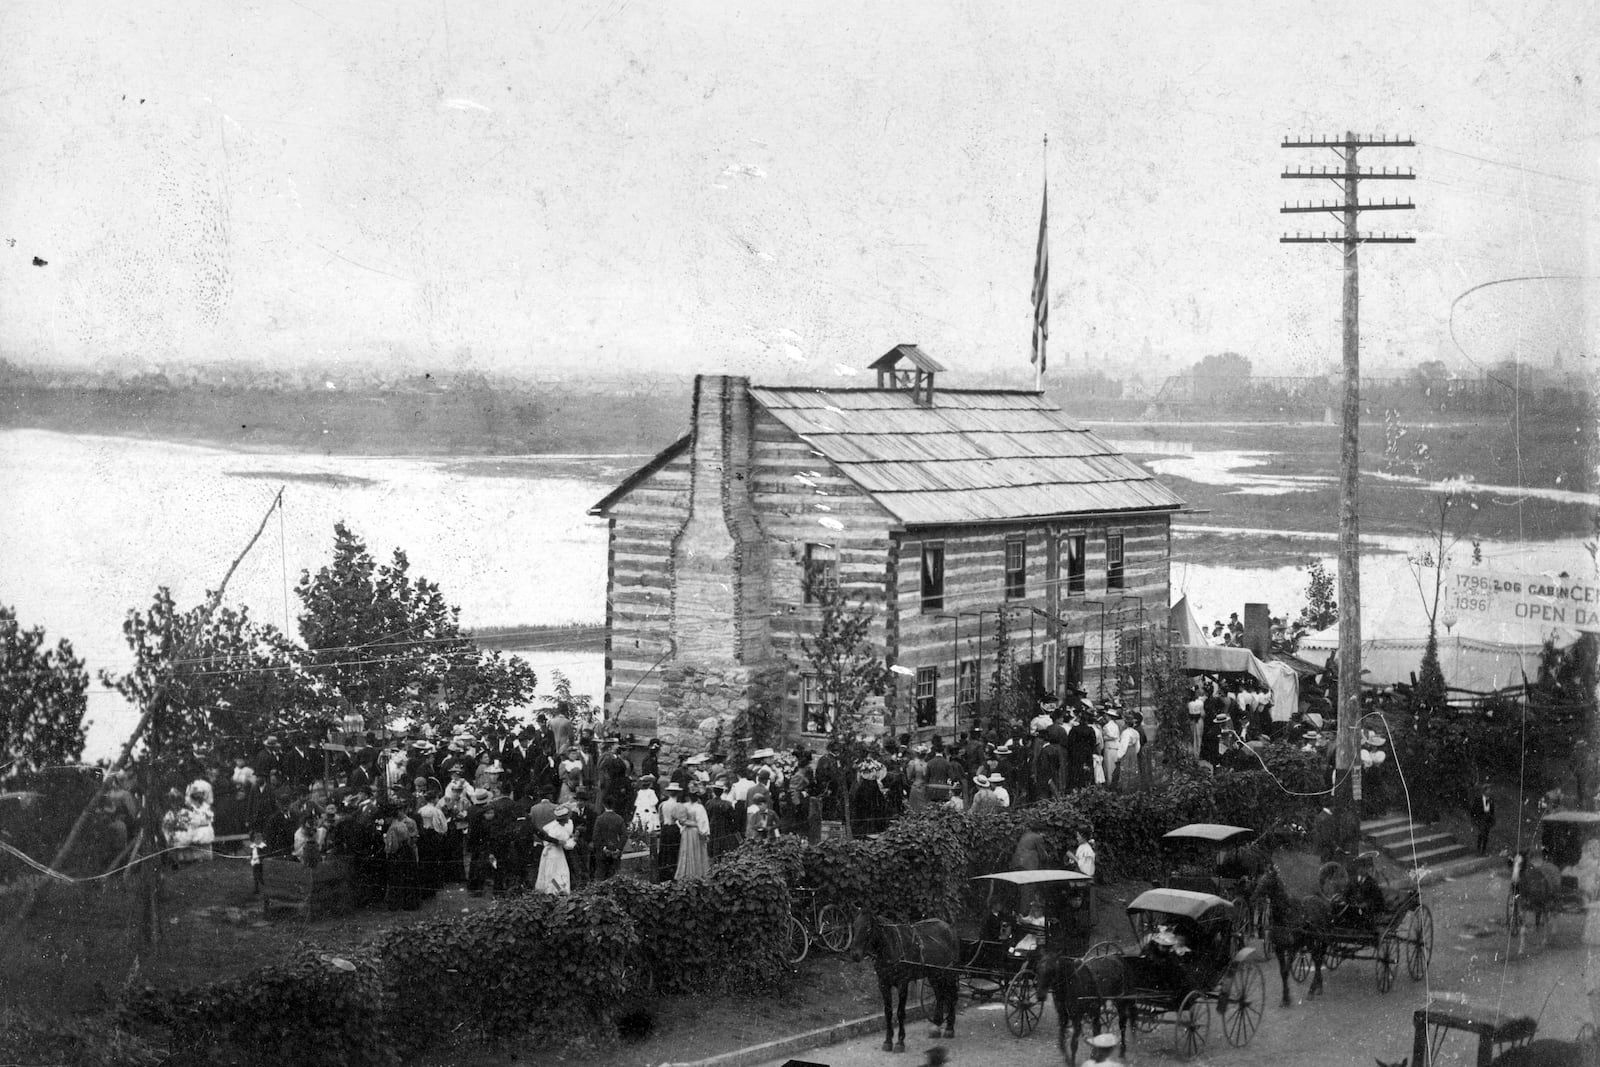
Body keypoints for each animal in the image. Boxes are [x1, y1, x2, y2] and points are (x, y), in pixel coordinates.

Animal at [851, 908, 960, 1049]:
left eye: (868, 928)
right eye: (854, 926)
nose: (855, 954)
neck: (892, 947)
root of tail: (948, 927)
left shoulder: (902, 983)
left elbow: (900, 1013)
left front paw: (900, 1041)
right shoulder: (883, 984)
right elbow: (888, 1012)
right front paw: (888, 1041)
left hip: (949, 973)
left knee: (952, 996)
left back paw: (949, 1028)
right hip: (934, 974)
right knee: (940, 995)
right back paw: (936, 1024)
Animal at [1254, 857, 1331, 1011]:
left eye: (1268, 880)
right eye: (1260, 878)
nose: (1254, 897)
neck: (1286, 915)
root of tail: (1321, 901)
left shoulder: (1293, 947)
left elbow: (1286, 970)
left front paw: (1286, 998)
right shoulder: (1279, 948)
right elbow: (1283, 972)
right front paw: (1285, 998)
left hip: (1320, 941)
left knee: (1318, 960)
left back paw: (1312, 990)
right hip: (1311, 941)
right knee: (1317, 960)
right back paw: (1317, 987)